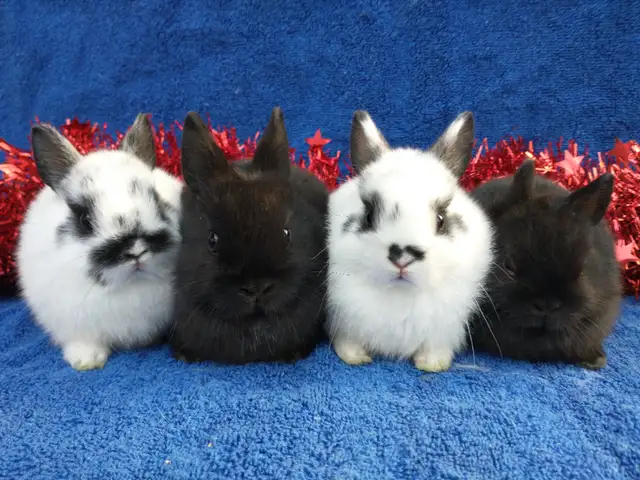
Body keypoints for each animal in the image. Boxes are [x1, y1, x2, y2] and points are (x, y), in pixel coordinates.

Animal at [325, 110, 494, 372]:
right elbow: (348, 342)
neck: (400, 295)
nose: (403, 255)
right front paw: (354, 357)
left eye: (441, 219)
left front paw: (432, 364)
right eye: (369, 215)